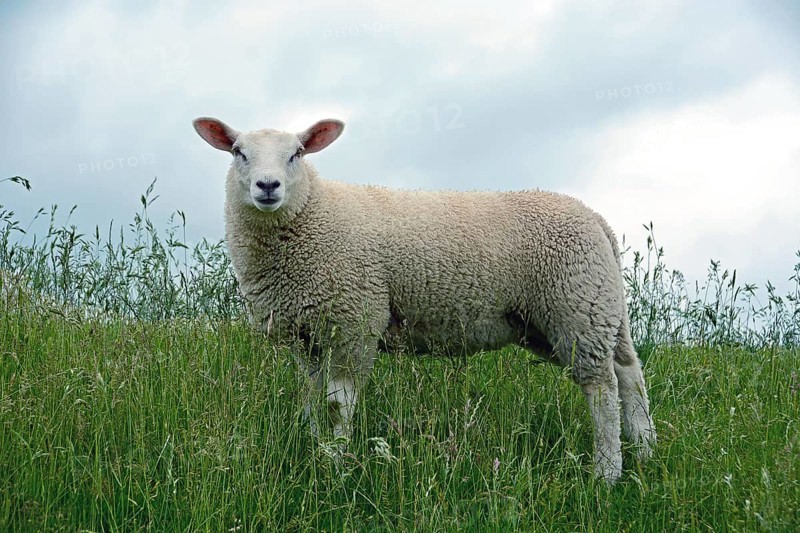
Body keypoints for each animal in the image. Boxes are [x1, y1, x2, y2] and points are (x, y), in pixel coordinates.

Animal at [193, 116, 656, 483]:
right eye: (238, 152)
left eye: (297, 154)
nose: (267, 186)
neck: (312, 214)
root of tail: (596, 219)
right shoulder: (306, 333)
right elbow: (310, 398)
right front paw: (313, 448)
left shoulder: (354, 321)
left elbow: (337, 406)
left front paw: (336, 467)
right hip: (582, 313)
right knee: (629, 373)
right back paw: (645, 450)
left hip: (576, 307)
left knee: (602, 388)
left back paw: (607, 473)